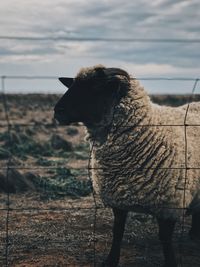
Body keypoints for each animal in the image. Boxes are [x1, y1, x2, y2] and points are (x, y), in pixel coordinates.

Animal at [53, 65, 200, 267]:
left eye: (96, 87)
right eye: (73, 84)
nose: (57, 111)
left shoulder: (169, 204)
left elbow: (165, 240)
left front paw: (171, 262)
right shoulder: (119, 199)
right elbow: (117, 232)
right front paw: (111, 260)